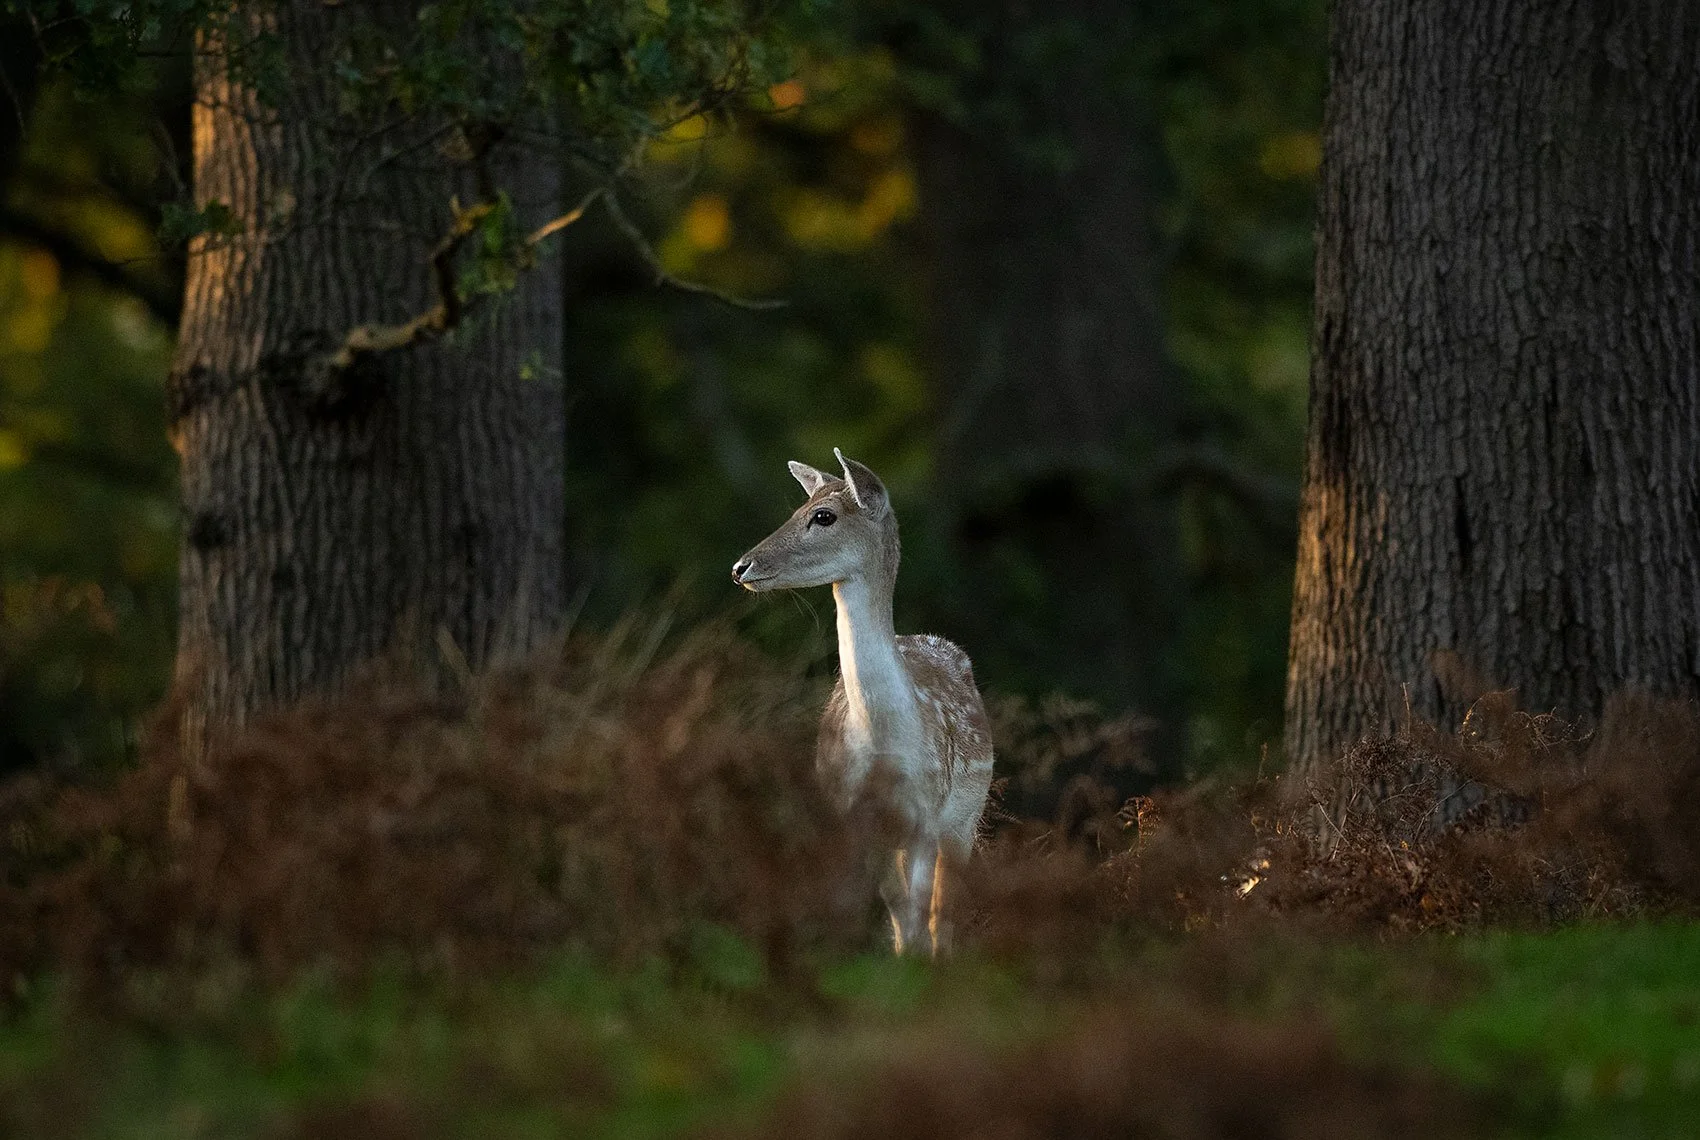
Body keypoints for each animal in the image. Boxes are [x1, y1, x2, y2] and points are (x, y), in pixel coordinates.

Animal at [732, 449, 993, 956]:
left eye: (823, 516)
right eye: (798, 508)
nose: (741, 566)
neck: (884, 745)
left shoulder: (927, 814)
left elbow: (918, 915)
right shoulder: (849, 811)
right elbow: (889, 912)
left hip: (966, 817)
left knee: (944, 912)